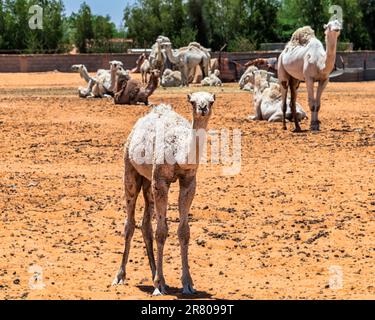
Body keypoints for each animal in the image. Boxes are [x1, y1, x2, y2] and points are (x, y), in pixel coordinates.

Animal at [112, 91, 217, 296]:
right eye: (192, 101)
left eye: (211, 101)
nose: (202, 108)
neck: (178, 152)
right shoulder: (161, 181)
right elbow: (161, 232)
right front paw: (158, 285)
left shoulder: (188, 181)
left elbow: (184, 231)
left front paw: (187, 284)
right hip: (130, 170)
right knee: (130, 223)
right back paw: (120, 276)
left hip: (148, 182)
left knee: (145, 225)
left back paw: (155, 274)